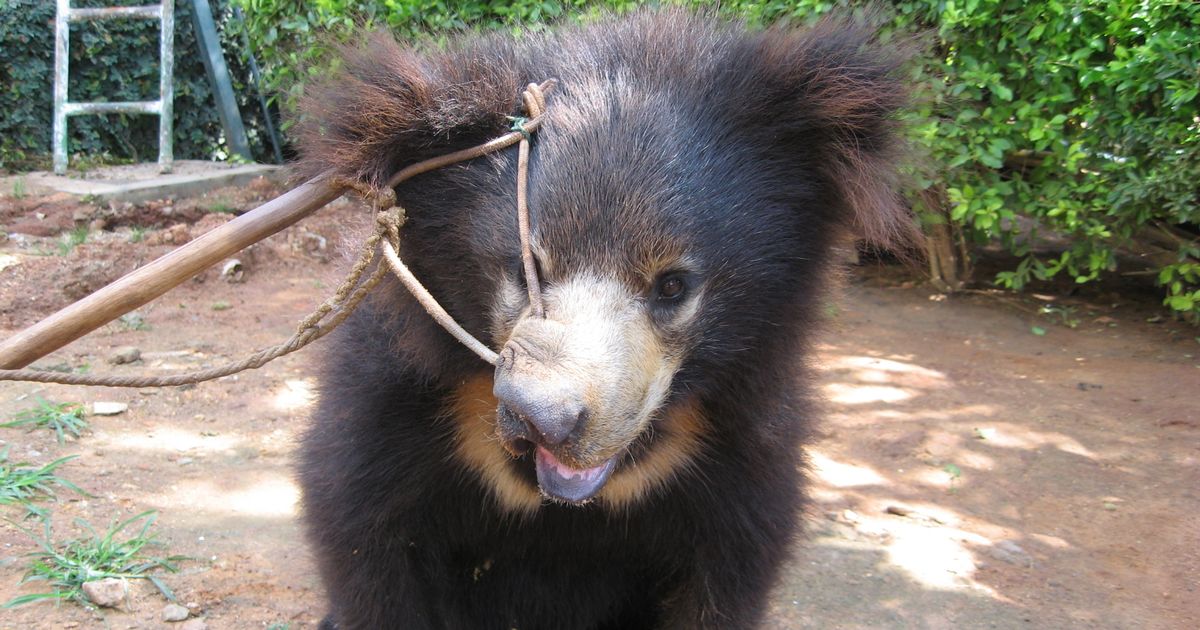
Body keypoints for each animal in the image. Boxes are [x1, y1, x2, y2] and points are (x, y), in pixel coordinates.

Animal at [296, 10, 915, 630]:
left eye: (673, 285)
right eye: (524, 270)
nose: (543, 419)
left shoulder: (741, 453)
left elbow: (729, 563)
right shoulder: (389, 405)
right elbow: (364, 533)